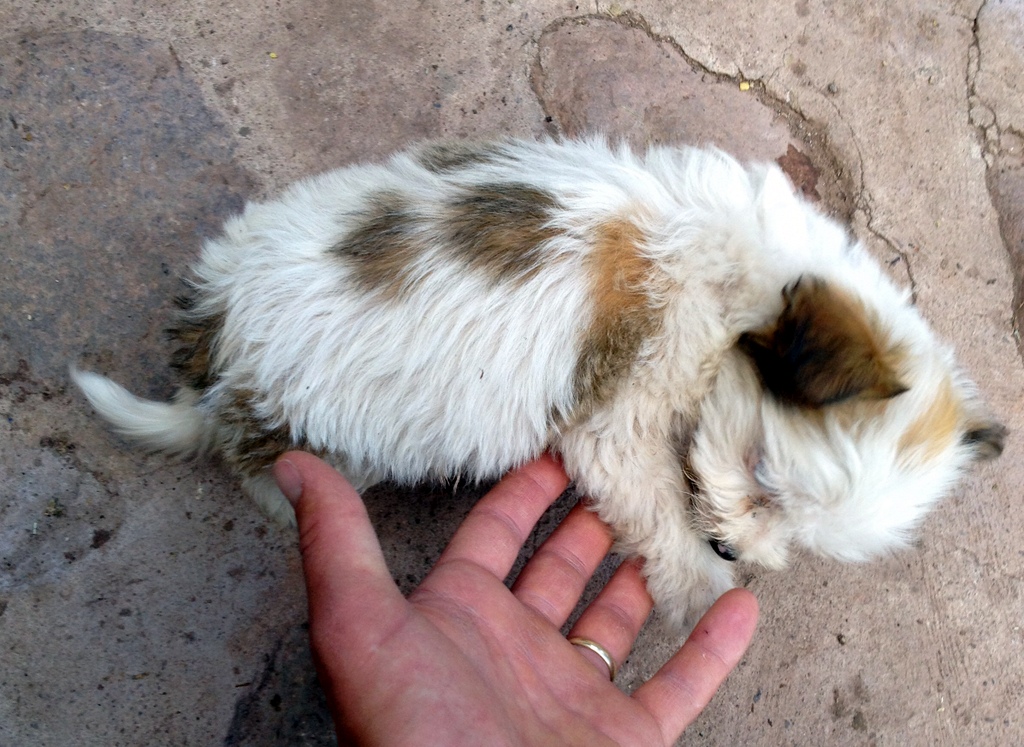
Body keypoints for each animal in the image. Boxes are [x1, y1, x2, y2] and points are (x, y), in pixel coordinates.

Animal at [75, 137, 1003, 627]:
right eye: (760, 473)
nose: (736, 549)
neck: (753, 269)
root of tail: (215, 327)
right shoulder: (630, 403)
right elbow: (649, 493)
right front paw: (699, 585)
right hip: (311, 423)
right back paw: (286, 491)